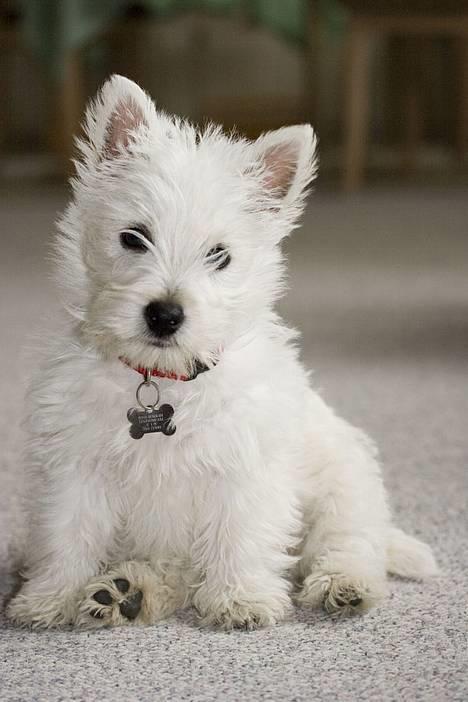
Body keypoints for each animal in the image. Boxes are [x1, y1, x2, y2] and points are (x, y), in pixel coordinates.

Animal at [7, 75, 438, 632]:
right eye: (133, 237)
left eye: (220, 255)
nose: (165, 315)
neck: (163, 377)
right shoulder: (75, 465)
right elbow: (67, 533)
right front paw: (47, 599)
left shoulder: (245, 467)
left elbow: (240, 535)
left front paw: (242, 599)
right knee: (169, 572)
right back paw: (125, 593)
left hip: (342, 485)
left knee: (348, 543)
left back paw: (344, 587)